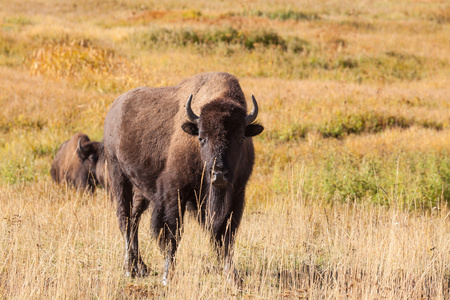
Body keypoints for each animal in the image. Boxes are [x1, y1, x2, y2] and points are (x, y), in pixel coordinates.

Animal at [102, 71, 264, 282]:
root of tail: (114, 109)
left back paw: (141, 267)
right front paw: (167, 275)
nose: (219, 174)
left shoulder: (236, 195)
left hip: (140, 189)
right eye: (202, 138)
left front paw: (233, 276)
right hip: (118, 175)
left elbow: (226, 235)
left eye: (241, 138)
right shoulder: (174, 192)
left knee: (134, 219)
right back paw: (130, 269)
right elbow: (173, 233)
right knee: (125, 219)